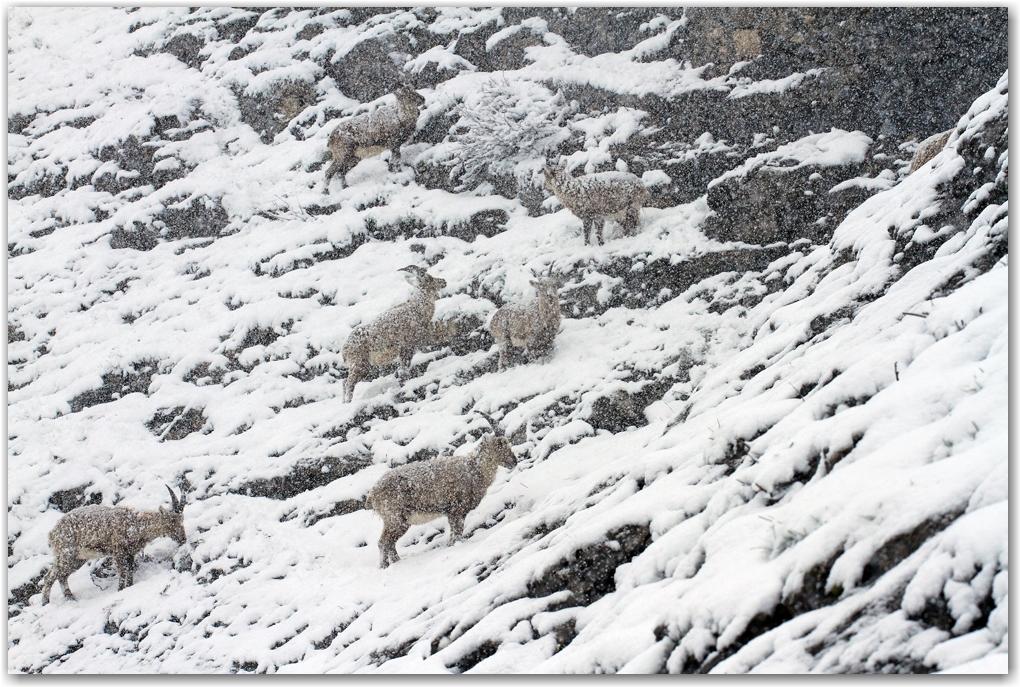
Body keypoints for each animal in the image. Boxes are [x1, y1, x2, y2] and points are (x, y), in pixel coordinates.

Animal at [39, 485, 187, 603]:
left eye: (182, 519)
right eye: (171, 520)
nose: (183, 539)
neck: (136, 524)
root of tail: (52, 533)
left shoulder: (130, 553)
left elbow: (130, 571)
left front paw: (129, 587)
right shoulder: (118, 551)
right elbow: (122, 572)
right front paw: (120, 590)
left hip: (77, 559)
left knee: (61, 576)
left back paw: (70, 598)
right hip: (66, 553)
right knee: (50, 576)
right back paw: (46, 602)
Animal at [342, 262, 446, 401]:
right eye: (428, 278)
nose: (443, 281)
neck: (416, 309)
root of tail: (345, 349)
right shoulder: (406, 346)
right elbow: (403, 369)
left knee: (344, 382)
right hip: (360, 365)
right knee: (349, 384)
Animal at [365, 413, 518, 562]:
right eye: (500, 444)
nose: (514, 461)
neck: (474, 469)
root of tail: (372, 495)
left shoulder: (453, 512)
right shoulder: (457, 509)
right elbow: (457, 532)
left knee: (389, 543)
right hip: (395, 519)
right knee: (383, 542)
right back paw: (385, 565)